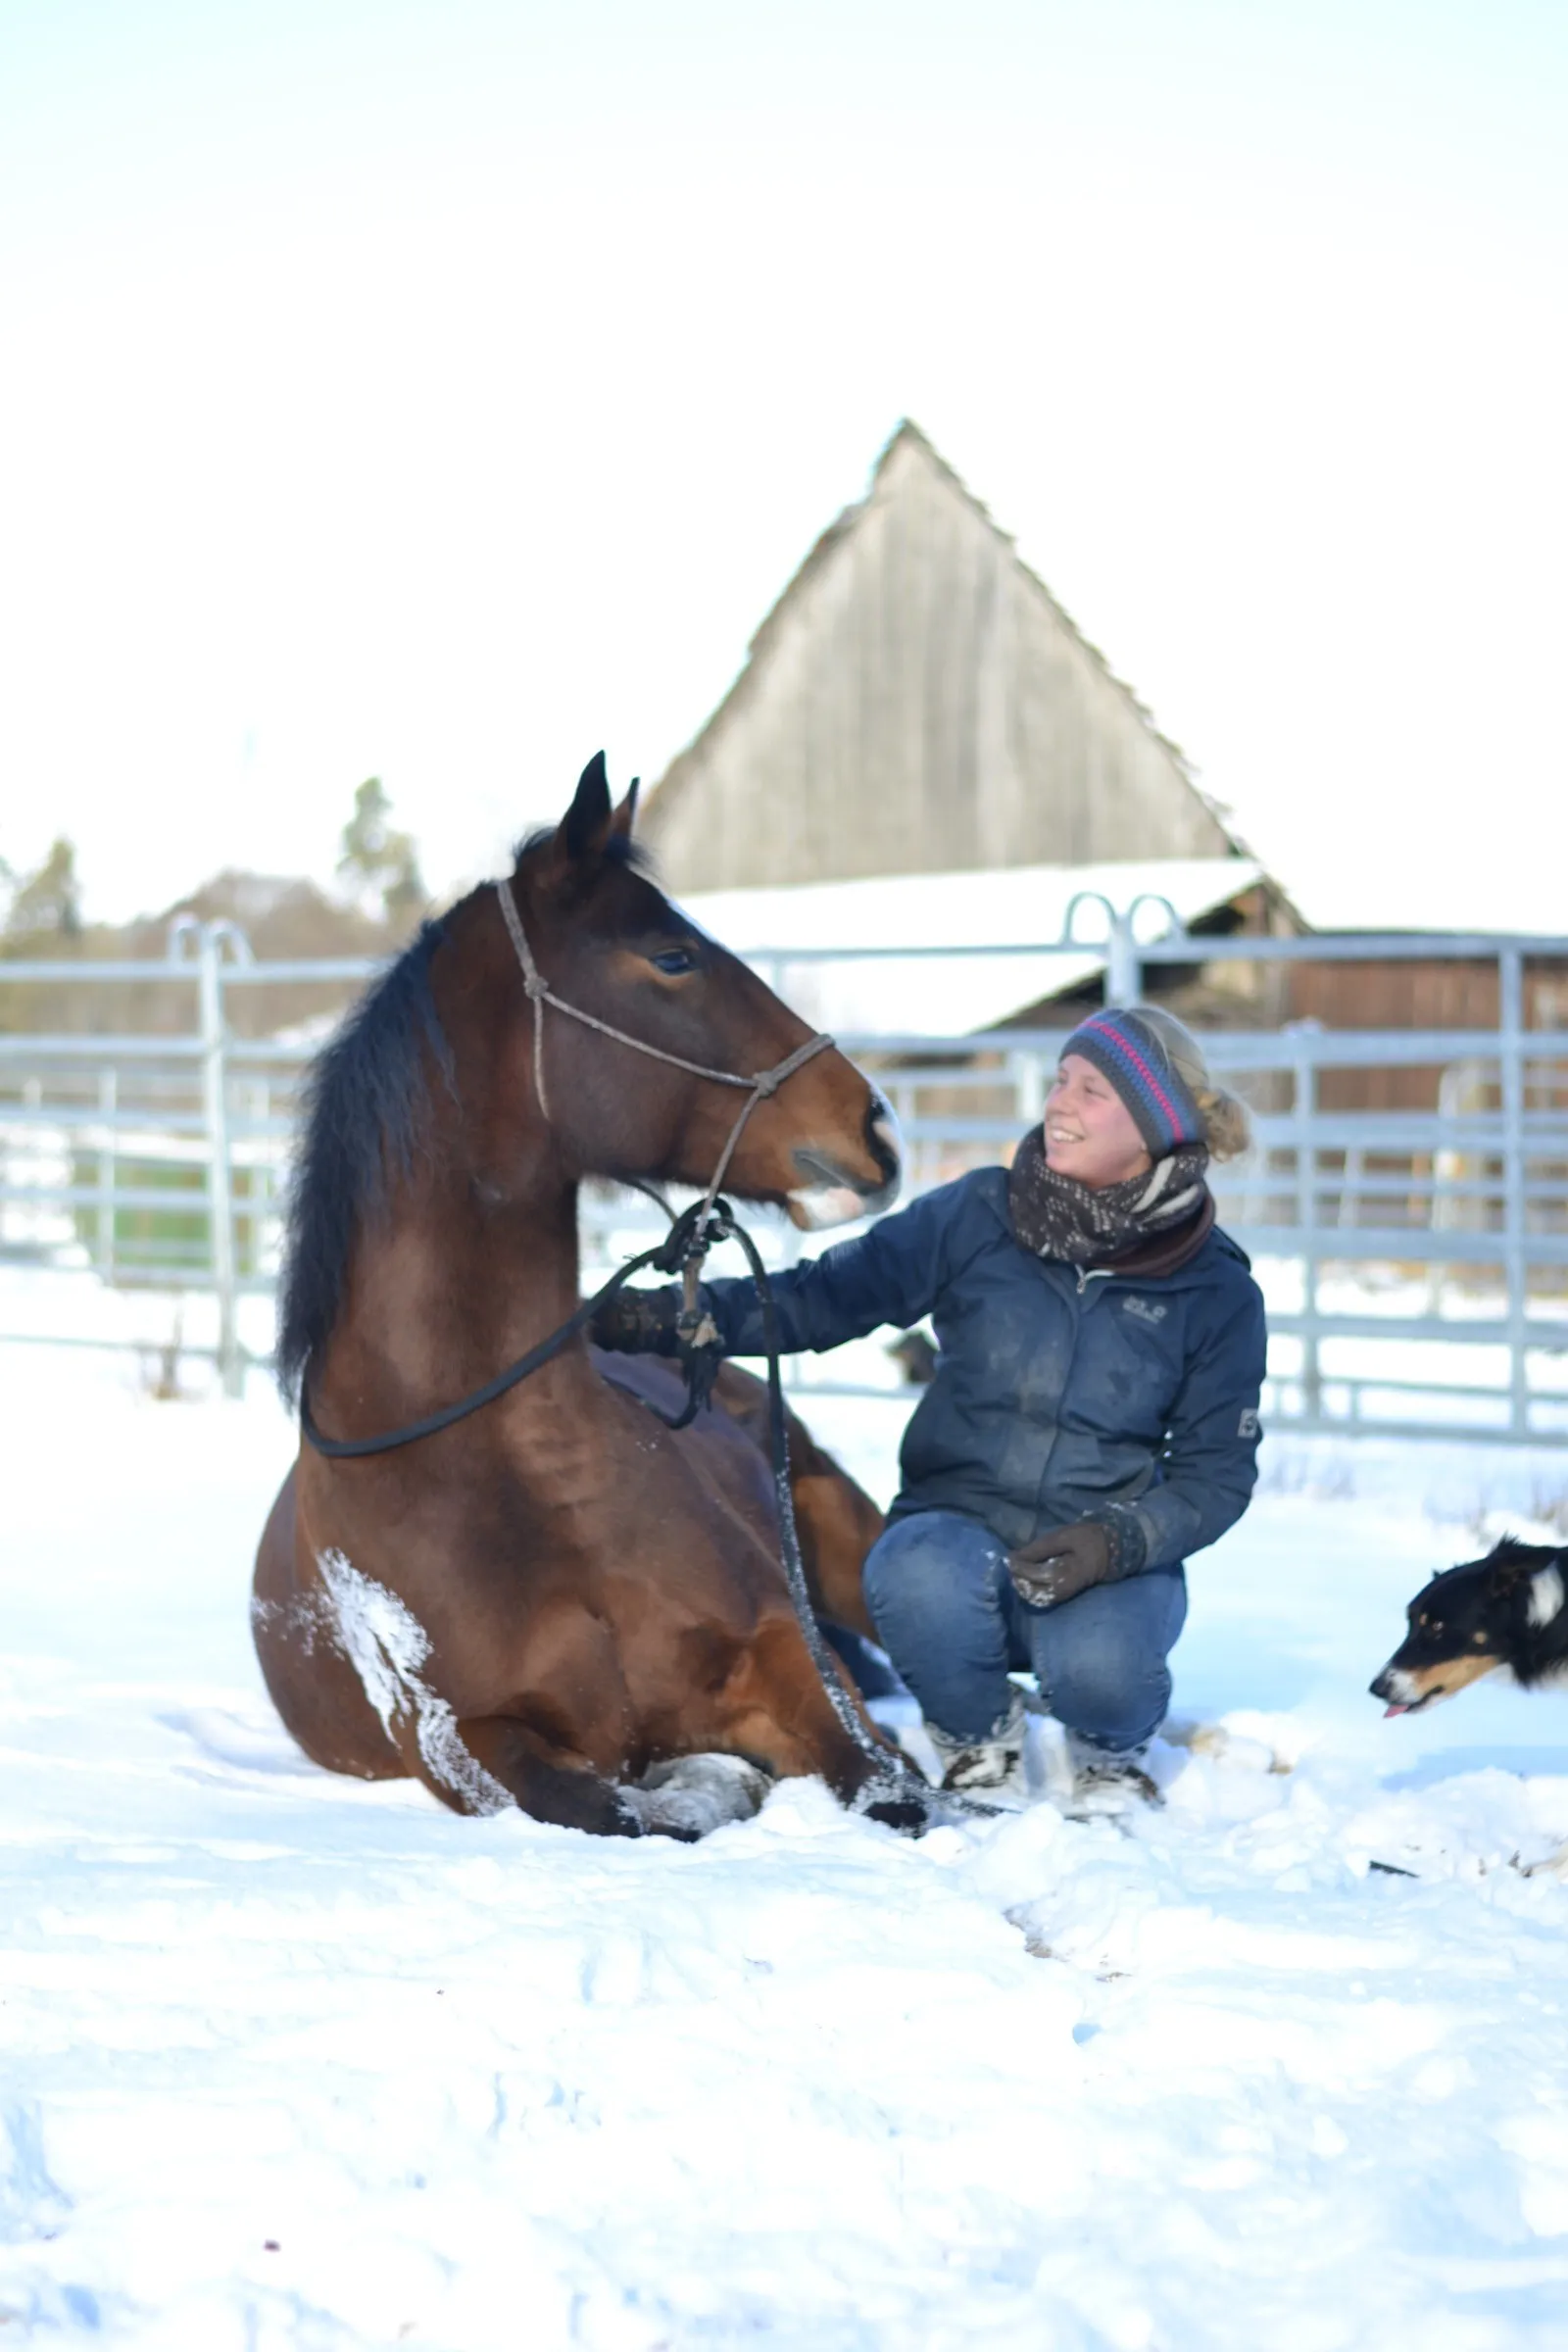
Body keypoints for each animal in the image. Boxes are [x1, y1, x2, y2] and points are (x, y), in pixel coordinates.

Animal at [252, 753, 927, 1837]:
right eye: (672, 958)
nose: (877, 1128)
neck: (512, 1477)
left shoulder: (787, 1650)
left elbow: (886, 1778)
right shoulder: (470, 1747)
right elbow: (617, 1810)